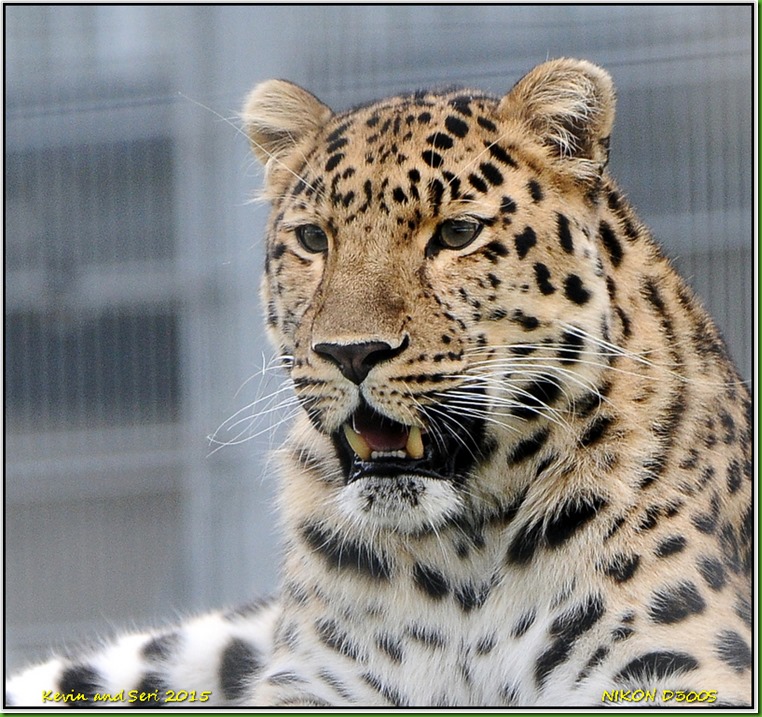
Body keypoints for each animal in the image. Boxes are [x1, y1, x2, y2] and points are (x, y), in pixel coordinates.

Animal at [7, 56, 756, 704]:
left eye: (457, 233)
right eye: (314, 240)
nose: (352, 353)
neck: (461, 567)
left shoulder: (675, 669)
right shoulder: (313, 681)